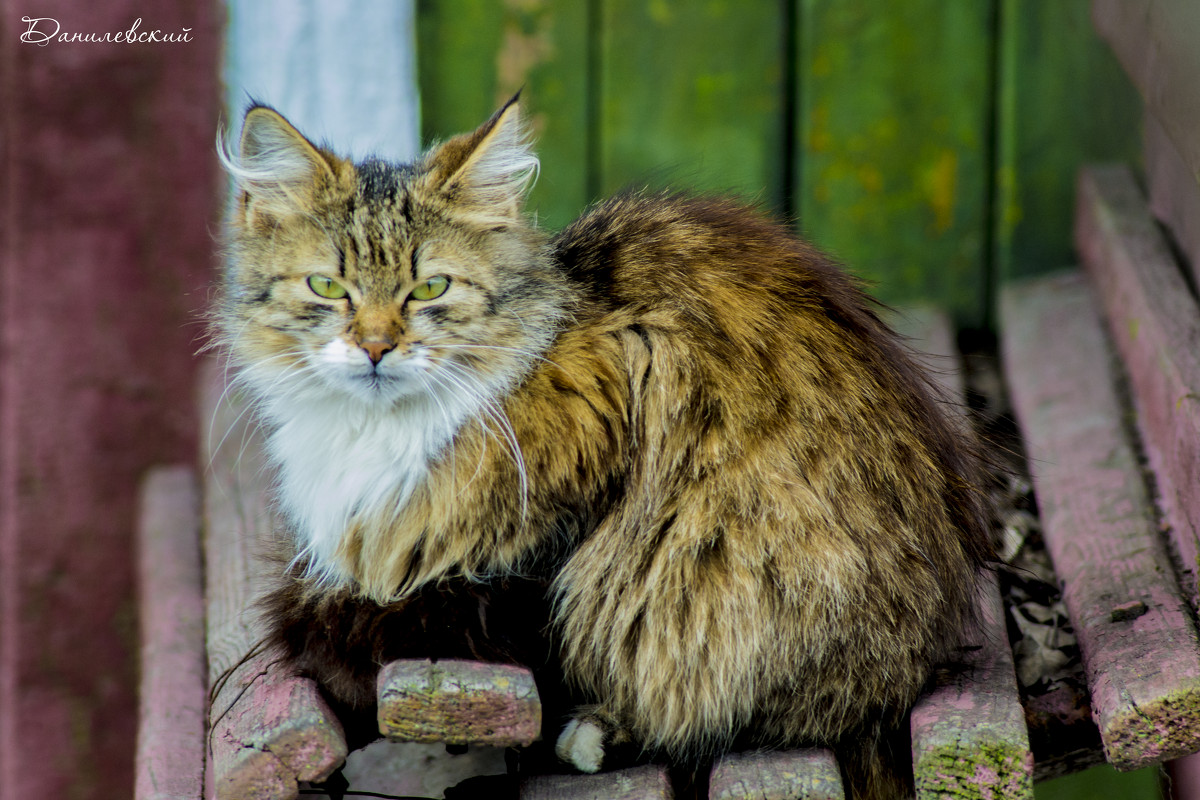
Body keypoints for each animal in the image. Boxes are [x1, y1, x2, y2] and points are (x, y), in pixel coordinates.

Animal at [213, 97, 993, 796]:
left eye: (430, 288)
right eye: (327, 286)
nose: (376, 347)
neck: (376, 432)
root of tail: (914, 671)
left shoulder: (554, 532)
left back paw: (591, 737)